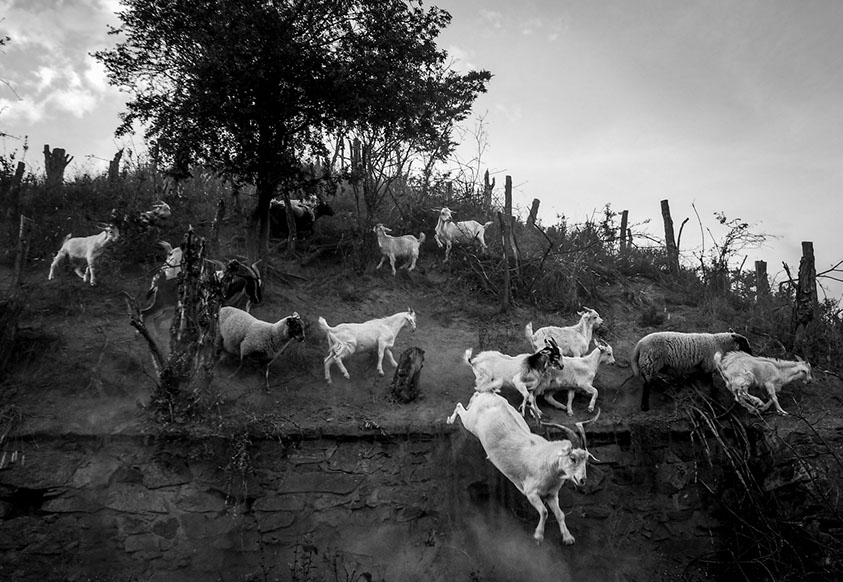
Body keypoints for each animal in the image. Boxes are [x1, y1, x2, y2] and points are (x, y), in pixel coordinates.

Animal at [447, 390, 598, 545]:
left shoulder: (551, 494)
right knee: (459, 406)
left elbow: (560, 514)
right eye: (573, 458)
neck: (545, 461)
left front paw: (568, 538)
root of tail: (489, 394)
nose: (582, 480)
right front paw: (538, 536)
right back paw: (450, 420)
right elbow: (544, 512)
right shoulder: (531, 492)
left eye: (586, 459)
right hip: (469, 422)